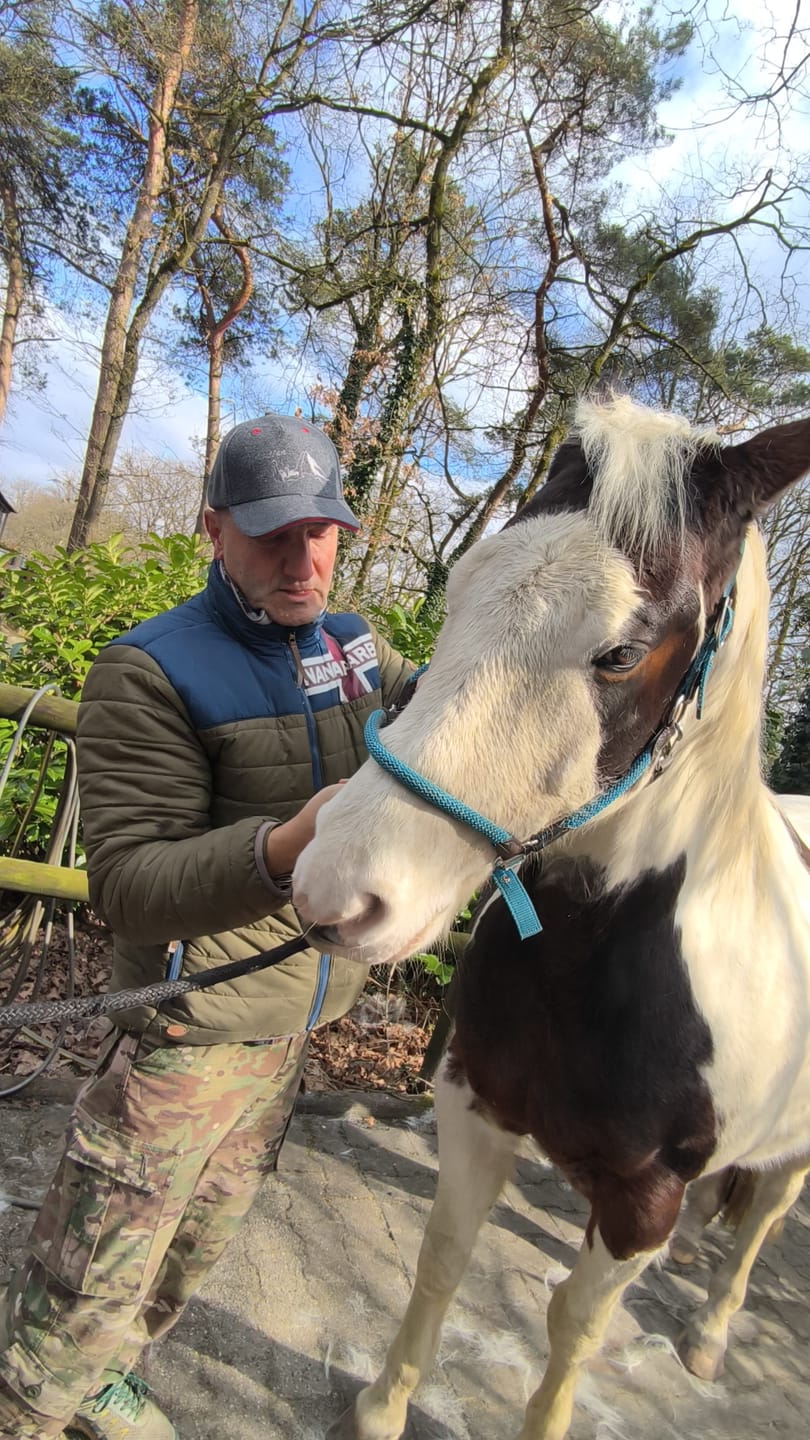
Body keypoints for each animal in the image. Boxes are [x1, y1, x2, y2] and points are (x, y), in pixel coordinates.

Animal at [293, 395, 810, 1440]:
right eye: (460, 590)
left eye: (619, 653)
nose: (335, 889)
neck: (600, 966)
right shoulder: (474, 1102)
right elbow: (444, 1254)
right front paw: (380, 1407)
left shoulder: (642, 1204)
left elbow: (574, 1327)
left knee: (765, 1215)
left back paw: (710, 1334)